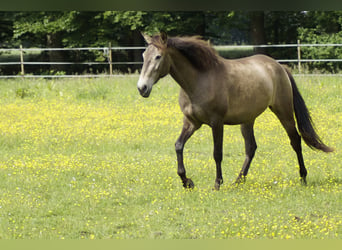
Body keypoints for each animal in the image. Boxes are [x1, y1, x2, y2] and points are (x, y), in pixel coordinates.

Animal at [137, 32, 334, 190]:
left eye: (158, 57)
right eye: (144, 55)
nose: (142, 88)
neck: (199, 81)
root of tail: (279, 67)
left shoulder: (216, 123)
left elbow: (217, 153)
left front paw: (217, 184)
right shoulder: (192, 122)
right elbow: (178, 146)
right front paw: (187, 182)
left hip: (283, 112)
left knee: (295, 141)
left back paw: (303, 177)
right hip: (247, 120)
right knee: (251, 148)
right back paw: (238, 181)